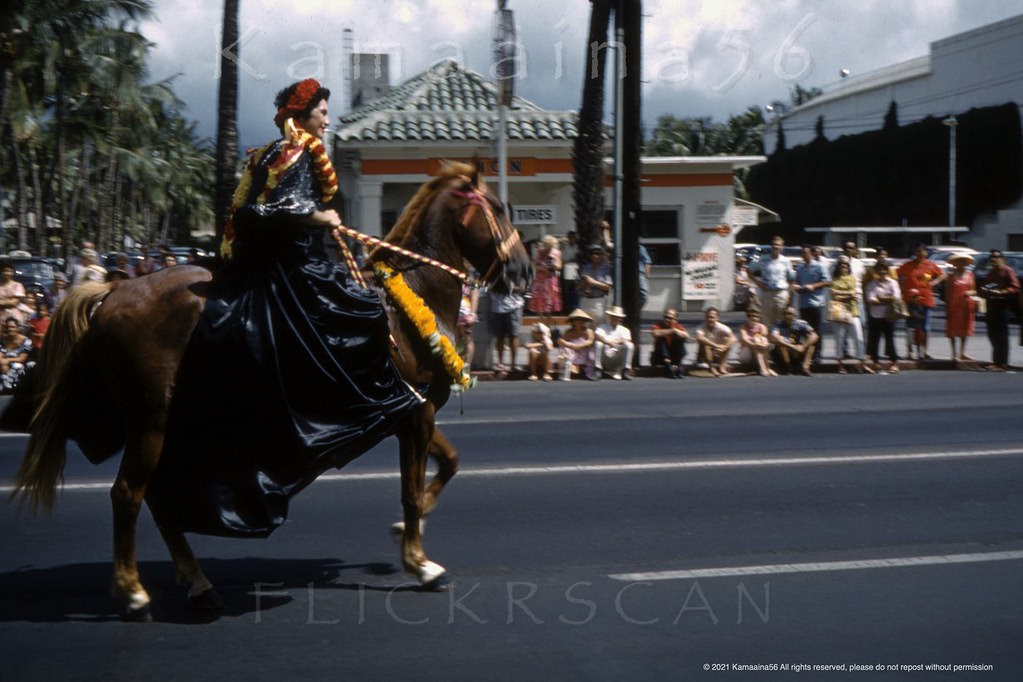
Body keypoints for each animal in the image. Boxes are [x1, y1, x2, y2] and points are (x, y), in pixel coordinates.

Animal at [7, 162, 531, 621]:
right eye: (498, 209)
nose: (524, 272)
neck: (411, 298)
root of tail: (111, 293)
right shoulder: (415, 414)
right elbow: (411, 490)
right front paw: (420, 562)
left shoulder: (413, 411)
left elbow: (449, 464)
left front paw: (408, 530)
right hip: (150, 419)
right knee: (128, 494)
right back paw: (134, 592)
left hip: (169, 426)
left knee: (156, 498)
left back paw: (198, 585)